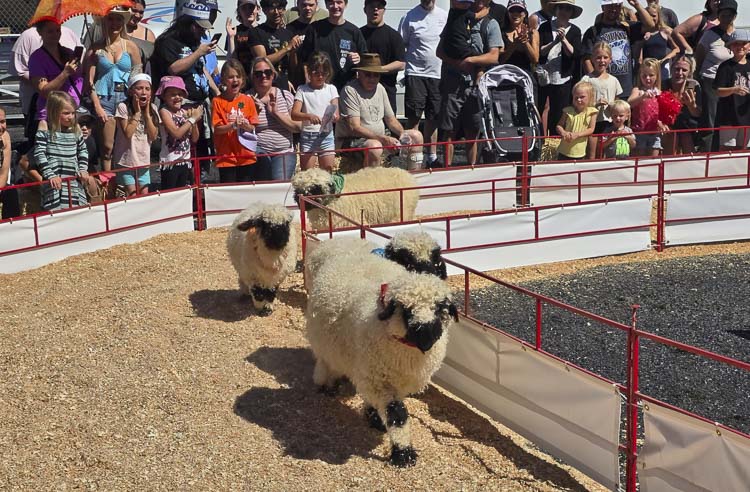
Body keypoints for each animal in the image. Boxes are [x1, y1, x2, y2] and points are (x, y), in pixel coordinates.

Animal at [305, 251, 458, 467]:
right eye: (406, 309)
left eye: (440, 308)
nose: (426, 335)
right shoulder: (378, 378)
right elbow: (397, 414)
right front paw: (403, 454)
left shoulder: (393, 380)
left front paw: (377, 421)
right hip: (326, 342)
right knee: (326, 362)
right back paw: (327, 384)